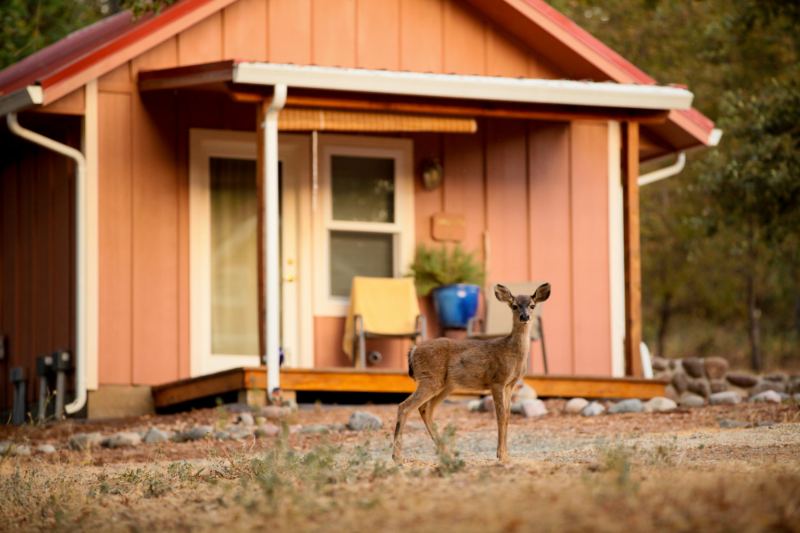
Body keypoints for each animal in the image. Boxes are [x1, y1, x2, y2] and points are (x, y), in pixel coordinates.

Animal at [392, 282, 552, 462]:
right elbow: (500, 416)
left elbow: (508, 416)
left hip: (445, 385)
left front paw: (506, 455)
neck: (512, 353)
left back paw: (445, 453)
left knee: (425, 409)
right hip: (430, 379)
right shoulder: (497, 380)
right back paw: (397, 456)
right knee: (404, 407)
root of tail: (414, 350)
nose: (525, 317)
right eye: (514, 306)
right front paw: (501, 455)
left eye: (532, 305)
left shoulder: (510, 384)